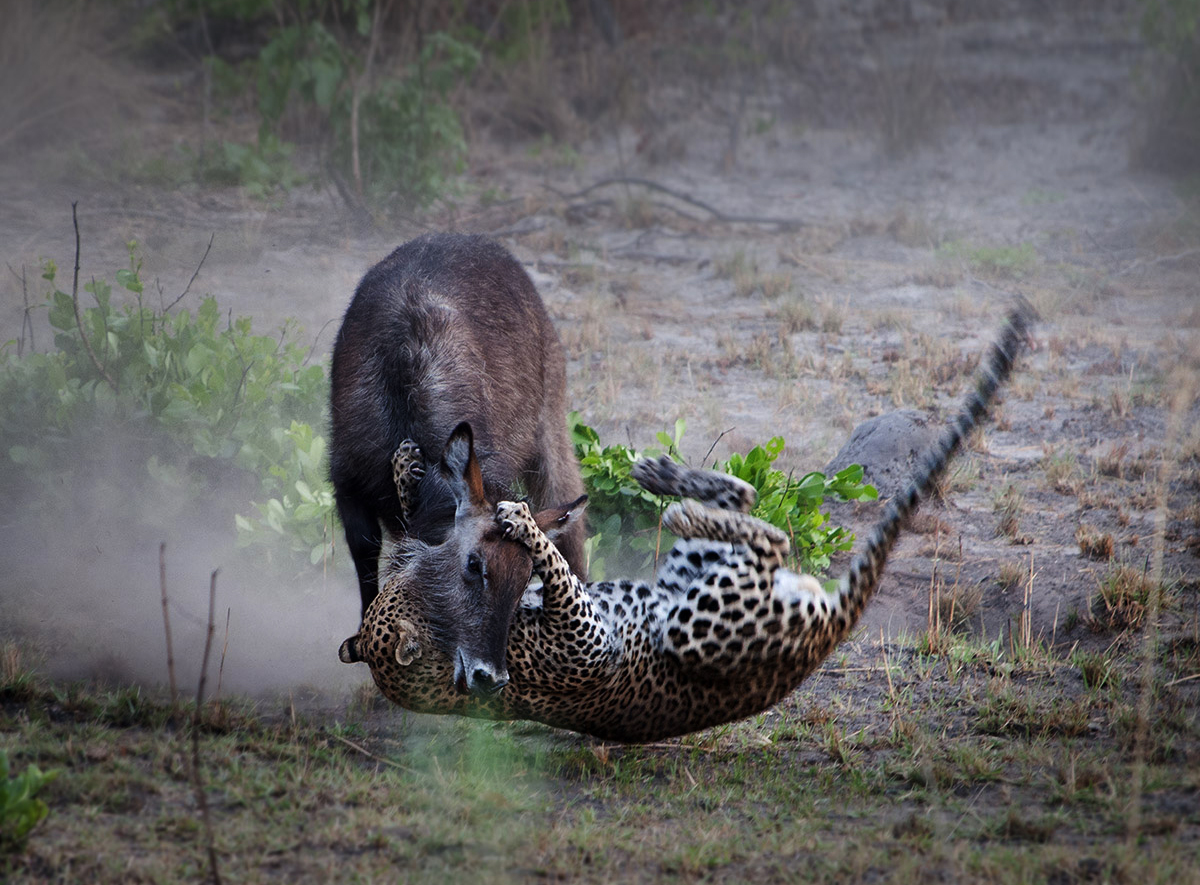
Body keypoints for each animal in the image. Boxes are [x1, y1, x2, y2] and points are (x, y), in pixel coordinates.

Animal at [339, 299, 1037, 742]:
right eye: (473, 572)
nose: (490, 680)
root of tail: (826, 631)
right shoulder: (582, 632)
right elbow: (548, 562)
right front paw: (514, 517)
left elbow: (439, 518)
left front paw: (420, 469)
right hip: (705, 611)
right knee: (767, 530)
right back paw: (672, 495)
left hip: (693, 576)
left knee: (751, 506)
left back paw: (661, 478)